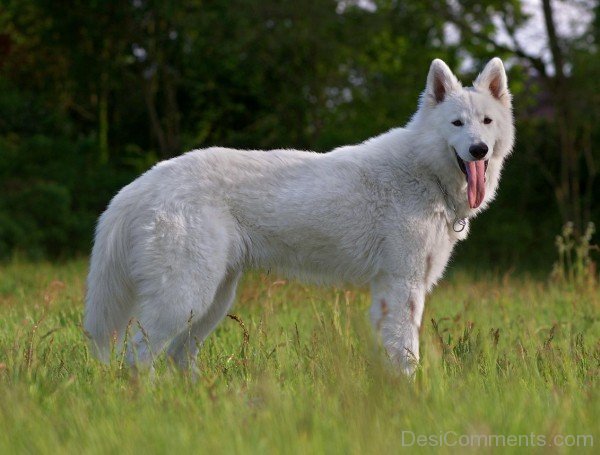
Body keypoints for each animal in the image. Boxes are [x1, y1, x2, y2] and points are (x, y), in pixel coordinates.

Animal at [85, 58, 516, 376]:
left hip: (213, 300)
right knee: (138, 357)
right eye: (456, 123)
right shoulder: (402, 285)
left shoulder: (388, 290)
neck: (424, 172)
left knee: (178, 357)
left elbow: (391, 352)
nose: (478, 150)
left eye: (486, 122)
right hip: (185, 297)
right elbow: (406, 354)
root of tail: (143, 183)